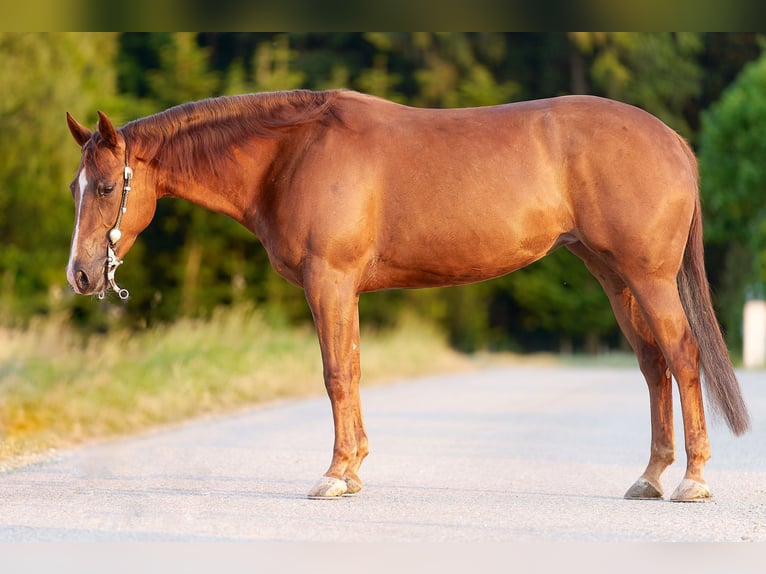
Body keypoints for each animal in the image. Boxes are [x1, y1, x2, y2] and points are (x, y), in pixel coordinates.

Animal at [66, 88, 752, 502]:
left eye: (106, 187)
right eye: (76, 186)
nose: (81, 275)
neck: (293, 153)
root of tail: (672, 140)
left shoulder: (330, 281)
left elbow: (336, 373)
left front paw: (334, 475)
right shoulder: (345, 290)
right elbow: (352, 370)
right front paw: (353, 469)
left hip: (649, 277)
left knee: (682, 356)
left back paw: (692, 479)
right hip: (614, 275)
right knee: (653, 363)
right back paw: (651, 476)